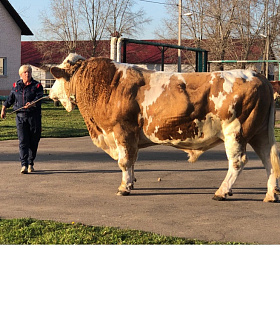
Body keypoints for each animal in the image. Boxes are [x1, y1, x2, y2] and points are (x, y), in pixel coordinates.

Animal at [49, 53, 280, 201]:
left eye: (56, 77)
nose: (50, 93)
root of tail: (258, 76)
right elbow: (132, 160)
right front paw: (131, 182)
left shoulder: (122, 131)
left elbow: (124, 161)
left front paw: (124, 187)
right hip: (260, 133)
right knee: (269, 160)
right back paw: (270, 195)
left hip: (235, 132)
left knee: (238, 162)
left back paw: (222, 192)